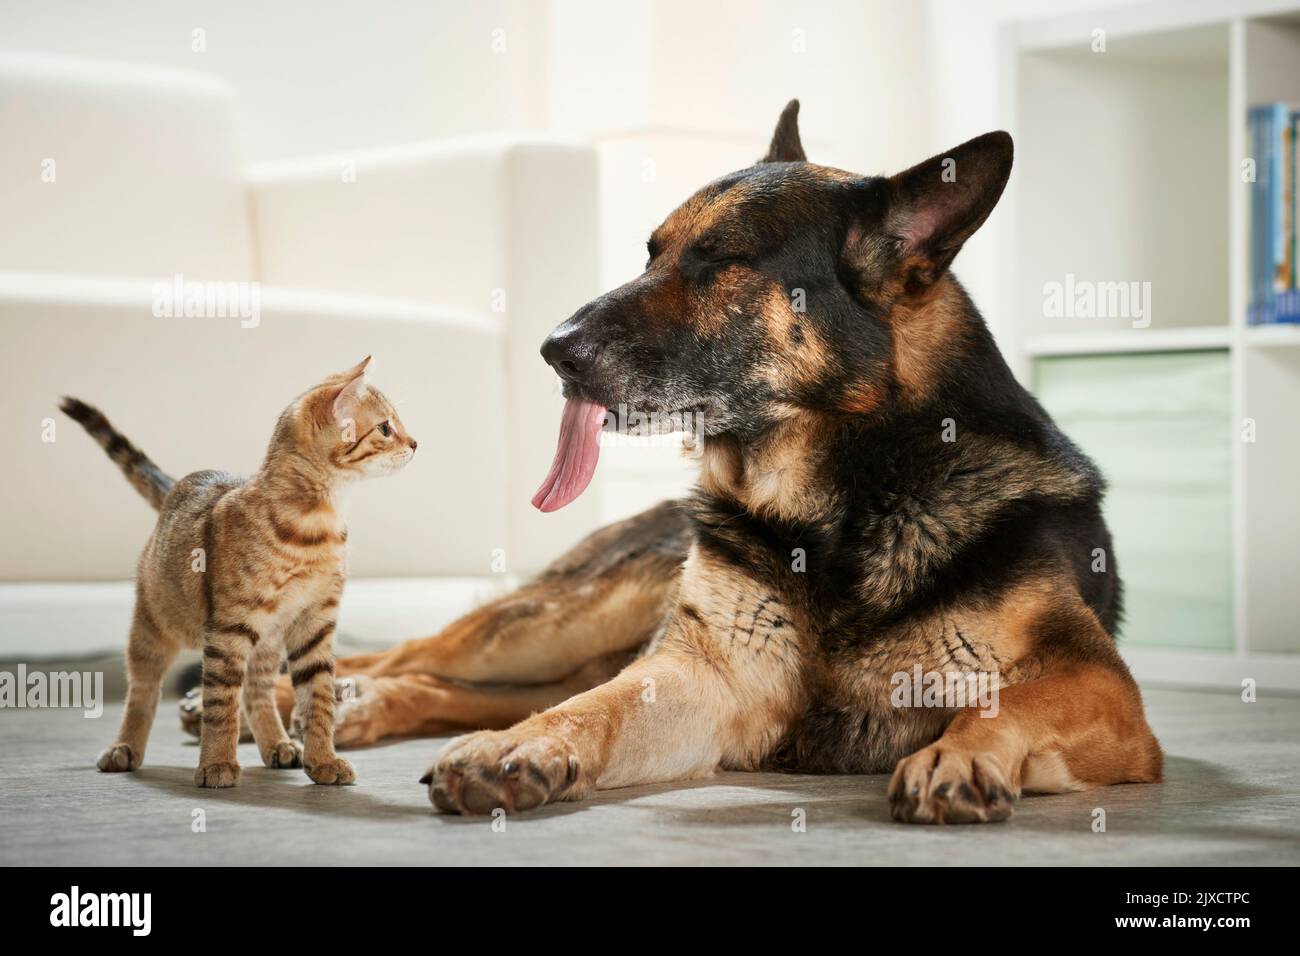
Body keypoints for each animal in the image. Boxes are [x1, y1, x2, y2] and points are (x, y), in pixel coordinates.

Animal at [61, 356, 416, 790]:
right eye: (385, 428)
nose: (415, 443)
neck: (318, 523)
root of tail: (180, 485)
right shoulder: (228, 627)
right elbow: (220, 702)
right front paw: (216, 763)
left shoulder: (315, 622)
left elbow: (317, 697)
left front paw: (323, 759)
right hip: (155, 624)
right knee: (144, 689)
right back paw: (124, 747)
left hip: (268, 641)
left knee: (256, 690)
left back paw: (279, 744)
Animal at [180, 102, 1159, 822]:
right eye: (651, 251)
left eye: (722, 262)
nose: (552, 350)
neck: (837, 508)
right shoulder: (703, 675)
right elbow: (597, 709)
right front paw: (519, 750)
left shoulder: (1105, 690)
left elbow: (1009, 702)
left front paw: (960, 754)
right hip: (553, 621)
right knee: (424, 655)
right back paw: (295, 702)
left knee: (439, 680)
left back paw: (348, 710)